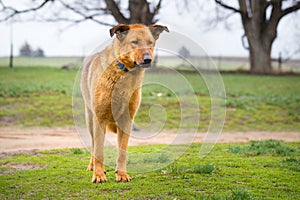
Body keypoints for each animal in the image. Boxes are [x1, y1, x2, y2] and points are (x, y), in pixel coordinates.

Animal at [79, 23, 169, 183]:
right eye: (135, 42)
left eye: (150, 43)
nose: (148, 59)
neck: (125, 72)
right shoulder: (99, 118)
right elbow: (99, 151)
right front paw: (98, 175)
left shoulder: (126, 120)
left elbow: (122, 152)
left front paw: (121, 174)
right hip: (90, 119)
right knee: (94, 144)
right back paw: (92, 166)